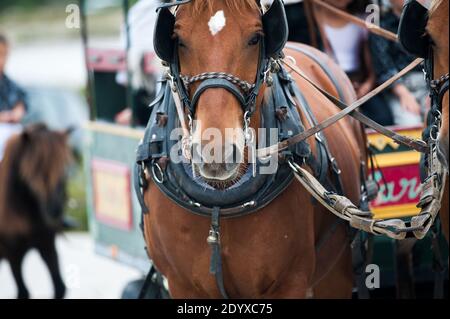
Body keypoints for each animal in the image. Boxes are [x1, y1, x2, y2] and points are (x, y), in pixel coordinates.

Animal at [0, 124, 71, 298]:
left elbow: (60, 287)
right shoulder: (12, 254)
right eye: (35, 168)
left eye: (64, 166)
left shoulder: (47, 244)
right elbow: (23, 292)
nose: (54, 210)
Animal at [144, 0, 366, 300]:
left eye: (255, 38)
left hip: (335, 275)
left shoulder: (290, 283)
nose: (216, 152)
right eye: (178, 40)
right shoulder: (183, 286)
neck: (221, 203)